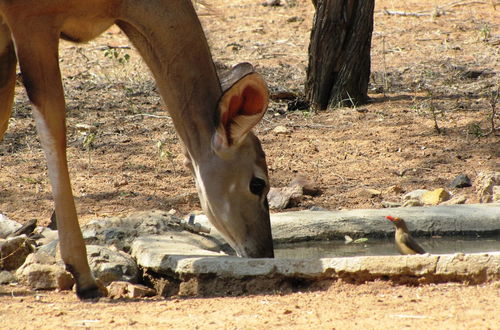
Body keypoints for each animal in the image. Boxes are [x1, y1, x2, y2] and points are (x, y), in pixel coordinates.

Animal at [0, 0, 274, 300]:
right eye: (258, 184)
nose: (265, 252)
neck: (122, 6)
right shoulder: (33, 23)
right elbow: (53, 125)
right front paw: (85, 279)